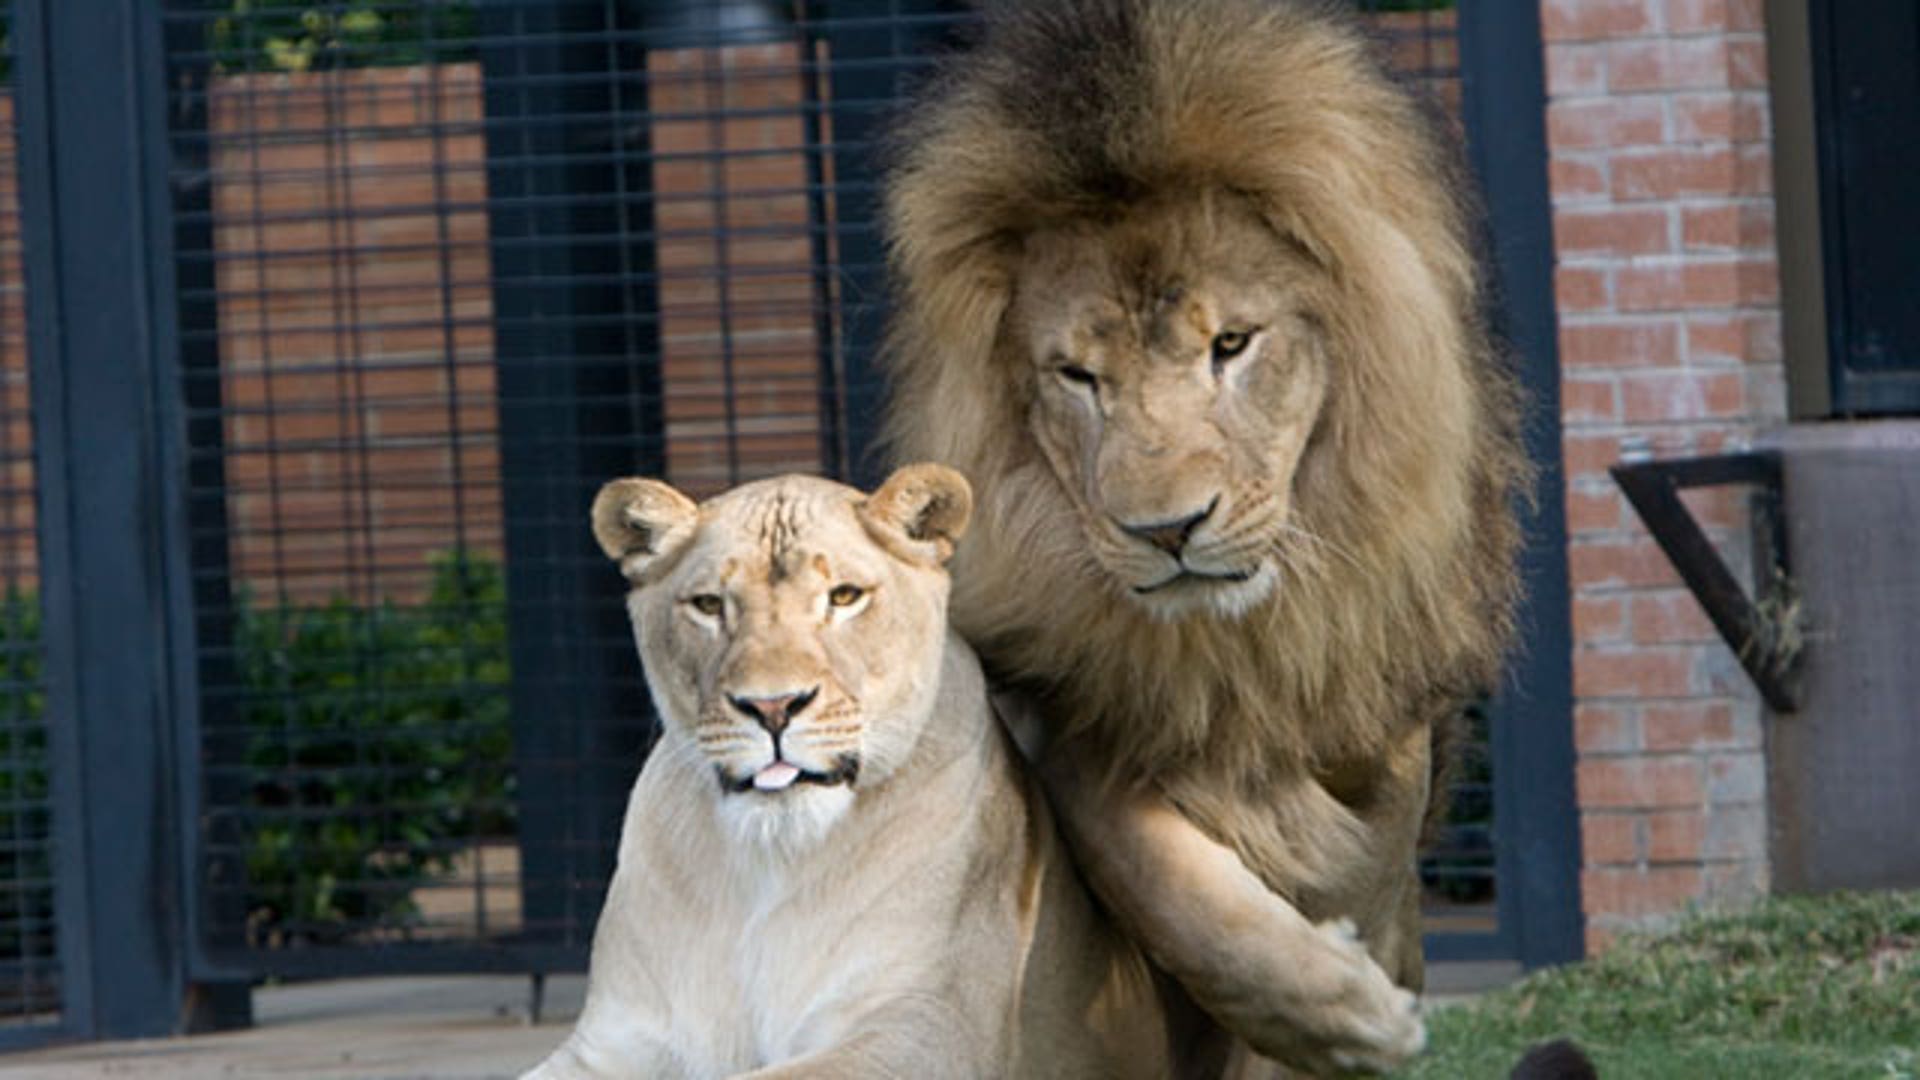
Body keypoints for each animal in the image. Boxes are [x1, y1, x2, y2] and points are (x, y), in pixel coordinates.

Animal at [525, 465, 1210, 1079]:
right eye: (709, 605)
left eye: (844, 597)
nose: (772, 707)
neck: (767, 860)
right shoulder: (614, 1040)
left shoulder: (925, 1032)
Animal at [881, 0, 1524, 1074]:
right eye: (1078, 376)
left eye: (1231, 344)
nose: (1168, 529)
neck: (1241, 645)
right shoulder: (1069, 699)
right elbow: (1154, 865)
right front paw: (1331, 1010)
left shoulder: (1385, 712)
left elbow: (1362, 865)